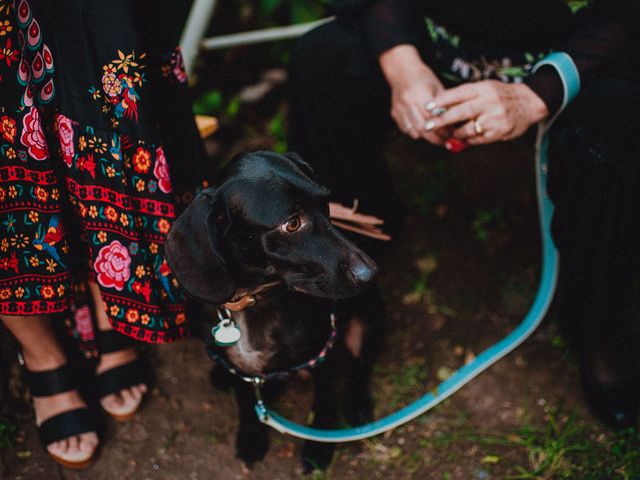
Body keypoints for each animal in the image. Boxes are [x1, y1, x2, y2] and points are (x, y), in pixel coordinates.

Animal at [165, 152, 384, 470]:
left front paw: (319, 447)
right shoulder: (238, 368)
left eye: (326, 203)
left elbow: (325, 400)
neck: (251, 302)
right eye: (291, 224)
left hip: (366, 324)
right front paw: (251, 437)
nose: (370, 273)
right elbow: (245, 402)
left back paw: (358, 405)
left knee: (359, 368)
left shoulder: (324, 353)